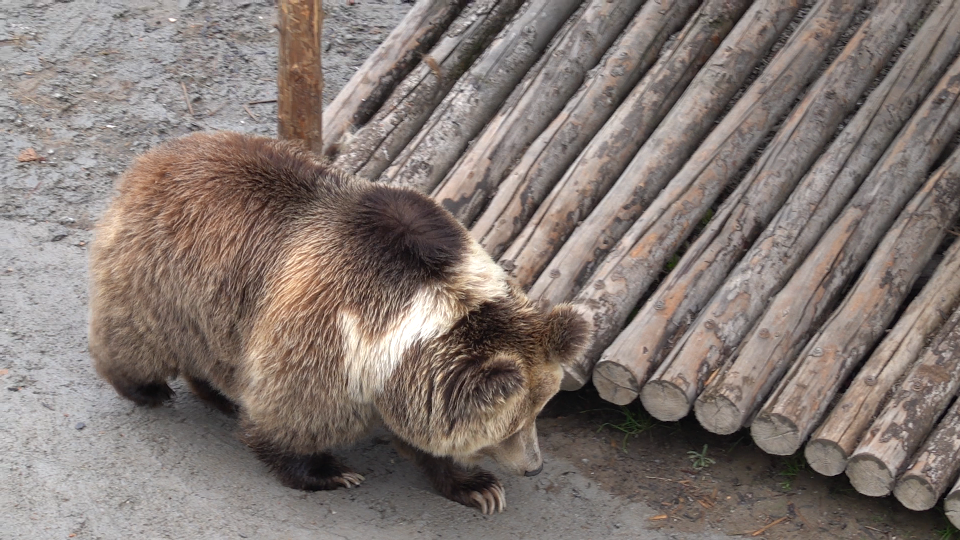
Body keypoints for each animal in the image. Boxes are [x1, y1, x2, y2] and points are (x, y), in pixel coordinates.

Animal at [90, 131, 588, 516]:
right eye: (510, 426)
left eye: (539, 410)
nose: (534, 466)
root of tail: (154, 157)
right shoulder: (326, 336)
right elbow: (292, 414)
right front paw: (331, 471)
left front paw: (478, 487)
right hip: (163, 278)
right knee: (135, 338)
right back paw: (148, 389)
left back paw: (218, 394)